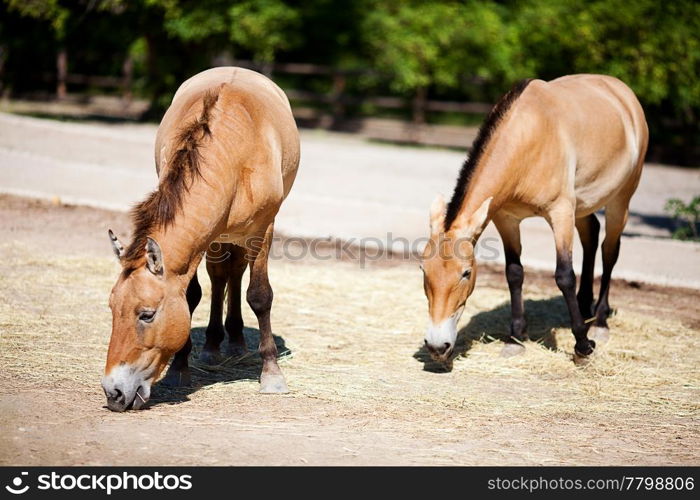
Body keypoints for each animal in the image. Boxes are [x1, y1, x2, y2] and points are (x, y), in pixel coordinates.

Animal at [102, 66, 300, 410]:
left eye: (147, 314)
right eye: (113, 308)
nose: (113, 393)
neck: (233, 152)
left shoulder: (263, 231)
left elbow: (260, 296)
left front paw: (272, 375)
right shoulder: (203, 238)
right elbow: (193, 294)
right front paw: (181, 368)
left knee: (235, 274)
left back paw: (235, 342)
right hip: (219, 237)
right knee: (223, 276)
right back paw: (214, 344)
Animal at [422, 73, 644, 364]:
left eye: (466, 273)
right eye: (423, 270)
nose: (437, 346)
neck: (528, 137)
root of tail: (623, 92)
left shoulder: (560, 212)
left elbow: (564, 276)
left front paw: (583, 346)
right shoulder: (506, 219)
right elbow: (514, 273)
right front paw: (516, 338)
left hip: (621, 199)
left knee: (609, 251)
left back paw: (600, 322)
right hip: (582, 206)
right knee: (592, 235)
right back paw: (585, 306)